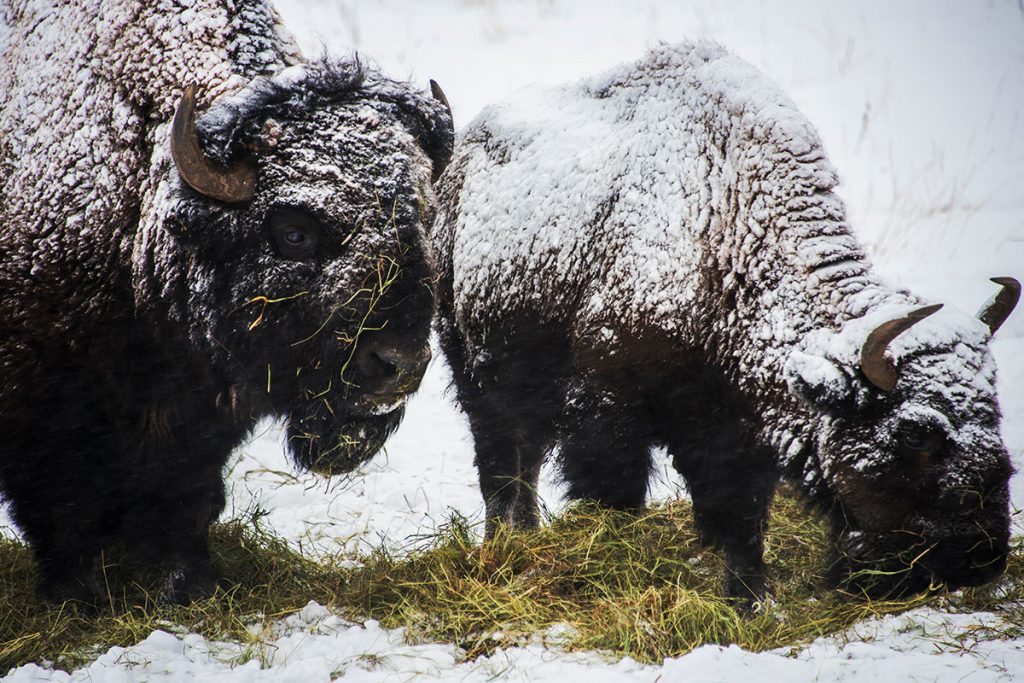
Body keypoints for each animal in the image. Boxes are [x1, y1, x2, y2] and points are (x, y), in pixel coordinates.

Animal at [0, 1, 452, 610]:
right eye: (294, 233)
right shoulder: (44, 406)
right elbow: (62, 506)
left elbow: (187, 496)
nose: (399, 365)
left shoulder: (203, 414)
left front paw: (187, 584)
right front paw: (79, 597)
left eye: (422, 215)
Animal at [436, 41, 1019, 602]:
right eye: (914, 434)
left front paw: (748, 600)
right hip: (474, 373)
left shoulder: (736, 432)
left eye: (993, 410)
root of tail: (461, 158)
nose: (975, 562)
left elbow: (741, 521)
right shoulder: (608, 413)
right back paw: (503, 546)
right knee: (501, 464)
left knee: (523, 462)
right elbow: (619, 500)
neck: (727, 233)